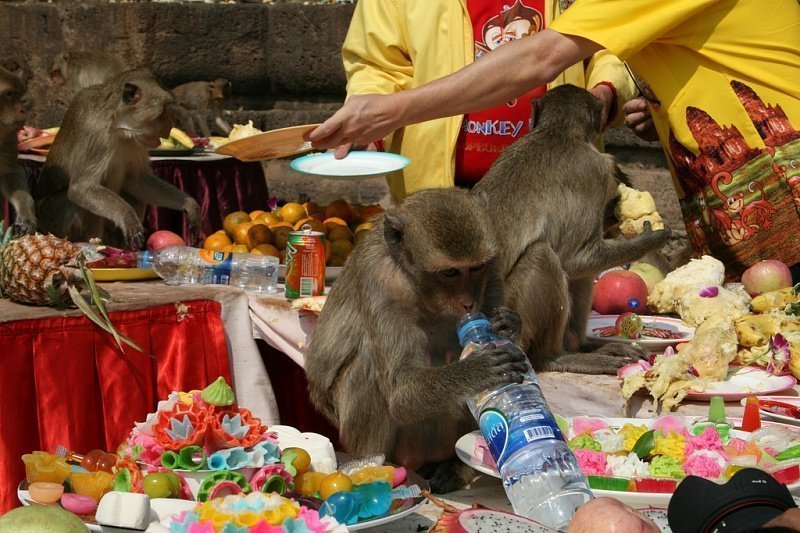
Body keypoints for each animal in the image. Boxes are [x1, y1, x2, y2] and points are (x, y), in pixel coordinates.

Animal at [35, 68, 200, 247]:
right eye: (163, 109)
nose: (170, 125)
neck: (117, 126)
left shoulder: (135, 142)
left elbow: (137, 180)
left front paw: (190, 205)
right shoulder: (97, 135)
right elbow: (81, 188)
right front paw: (128, 218)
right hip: (53, 223)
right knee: (74, 203)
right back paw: (90, 241)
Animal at [306, 186, 532, 490]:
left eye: (475, 268)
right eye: (449, 272)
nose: (468, 302)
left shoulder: (492, 266)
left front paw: (508, 327)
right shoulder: (382, 280)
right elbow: (400, 388)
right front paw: (478, 369)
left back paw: (456, 467)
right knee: (366, 369)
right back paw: (374, 466)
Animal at [472, 84, 672, 374]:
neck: (558, 130)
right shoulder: (598, 169)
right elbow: (576, 259)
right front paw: (647, 240)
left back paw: (587, 344)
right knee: (544, 256)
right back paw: (554, 357)